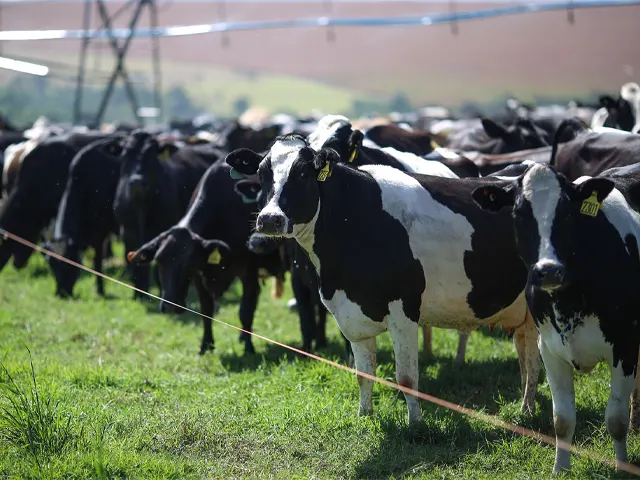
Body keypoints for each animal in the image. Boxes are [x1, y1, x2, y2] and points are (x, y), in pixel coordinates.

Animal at [46, 138, 123, 298]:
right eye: (51, 265)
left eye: (70, 265)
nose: (61, 293)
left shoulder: (104, 229)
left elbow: (99, 260)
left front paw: (100, 290)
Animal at [112, 130, 223, 298]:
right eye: (126, 154)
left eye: (152, 155)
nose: (137, 180)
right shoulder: (128, 232)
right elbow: (135, 263)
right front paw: (139, 294)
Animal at [126, 158, 286, 355]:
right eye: (160, 262)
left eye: (186, 264)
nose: (170, 307)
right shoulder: (199, 275)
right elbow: (206, 311)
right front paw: (205, 346)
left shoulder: (249, 273)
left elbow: (245, 312)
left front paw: (249, 348)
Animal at [225, 134, 543, 423]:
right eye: (262, 173)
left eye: (303, 172)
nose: (270, 219)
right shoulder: (350, 314)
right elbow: (364, 374)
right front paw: (364, 414)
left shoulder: (404, 310)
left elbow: (407, 378)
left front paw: (415, 424)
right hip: (523, 312)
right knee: (528, 357)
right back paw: (525, 409)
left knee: (534, 360)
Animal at [472, 163, 640, 474]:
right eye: (519, 214)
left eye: (567, 213)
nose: (548, 270)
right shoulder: (549, 347)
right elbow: (562, 419)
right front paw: (560, 469)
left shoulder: (624, 345)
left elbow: (615, 418)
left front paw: (623, 467)